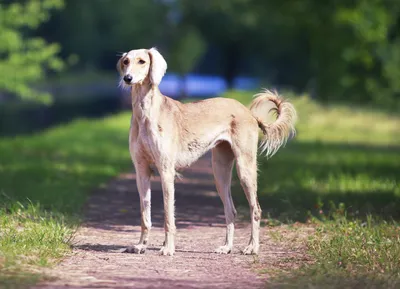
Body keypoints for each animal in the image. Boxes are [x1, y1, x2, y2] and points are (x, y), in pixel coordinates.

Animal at [116, 48, 296, 255]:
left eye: (142, 61)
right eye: (126, 62)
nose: (128, 78)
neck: (145, 112)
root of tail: (249, 113)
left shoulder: (166, 172)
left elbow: (169, 216)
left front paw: (168, 248)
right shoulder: (141, 172)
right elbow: (145, 215)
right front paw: (141, 245)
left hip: (245, 169)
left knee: (256, 209)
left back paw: (252, 247)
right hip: (219, 172)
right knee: (231, 210)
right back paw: (227, 247)